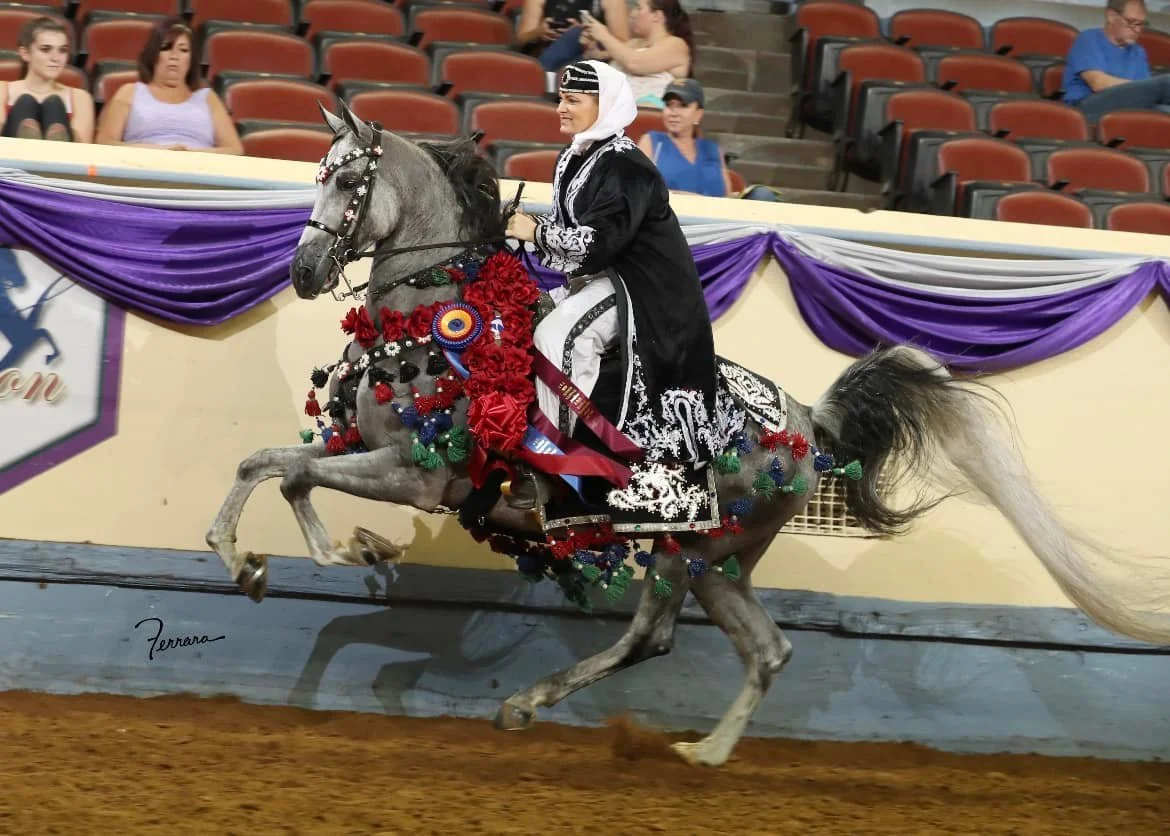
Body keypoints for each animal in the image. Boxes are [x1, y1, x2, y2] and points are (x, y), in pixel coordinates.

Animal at [207, 104, 1170, 767]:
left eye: (345, 181)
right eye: (317, 173)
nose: (303, 271)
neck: (442, 320)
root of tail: (807, 425)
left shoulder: (420, 474)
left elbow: (288, 471)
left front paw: (309, 553)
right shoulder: (361, 450)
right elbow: (272, 464)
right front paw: (274, 558)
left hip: (689, 548)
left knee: (659, 637)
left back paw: (562, 714)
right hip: (718, 562)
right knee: (758, 647)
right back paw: (690, 748)